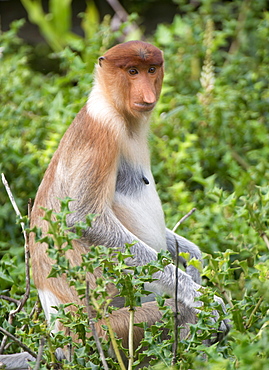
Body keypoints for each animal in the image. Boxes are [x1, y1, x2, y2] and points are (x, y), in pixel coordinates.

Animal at [28, 41, 228, 362]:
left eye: (151, 70)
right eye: (132, 71)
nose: (147, 95)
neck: (113, 106)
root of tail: (58, 334)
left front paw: (194, 259)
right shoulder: (103, 133)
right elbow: (82, 218)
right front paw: (199, 296)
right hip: (106, 333)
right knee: (179, 315)